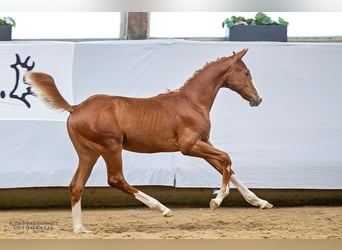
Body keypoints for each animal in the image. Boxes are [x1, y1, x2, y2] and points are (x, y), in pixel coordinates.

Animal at [25, 49, 272, 234]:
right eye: (246, 73)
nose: (258, 99)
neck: (192, 102)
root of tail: (75, 108)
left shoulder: (204, 143)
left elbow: (227, 167)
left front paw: (260, 202)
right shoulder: (189, 146)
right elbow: (227, 160)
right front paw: (216, 201)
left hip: (88, 152)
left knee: (76, 185)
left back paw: (80, 229)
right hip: (111, 147)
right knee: (116, 179)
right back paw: (162, 208)